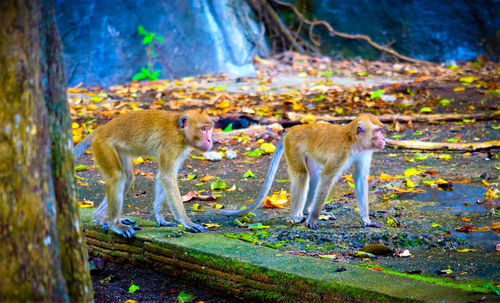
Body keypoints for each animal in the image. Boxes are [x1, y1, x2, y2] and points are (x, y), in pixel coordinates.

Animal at [74, 109, 213, 238]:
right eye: (203, 129)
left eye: (209, 129)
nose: (210, 140)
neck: (179, 130)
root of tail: (101, 129)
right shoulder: (172, 144)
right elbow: (167, 177)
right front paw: (186, 222)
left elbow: (163, 176)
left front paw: (160, 218)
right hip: (103, 146)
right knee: (118, 177)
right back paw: (115, 224)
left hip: (118, 149)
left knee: (128, 178)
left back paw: (100, 217)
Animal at [217, 114, 384, 230]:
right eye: (377, 131)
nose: (383, 139)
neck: (354, 141)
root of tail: (294, 128)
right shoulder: (342, 153)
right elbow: (327, 178)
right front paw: (313, 219)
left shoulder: (365, 152)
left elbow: (360, 179)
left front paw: (367, 220)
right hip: (293, 147)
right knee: (302, 175)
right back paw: (297, 216)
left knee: (314, 176)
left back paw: (306, 211)